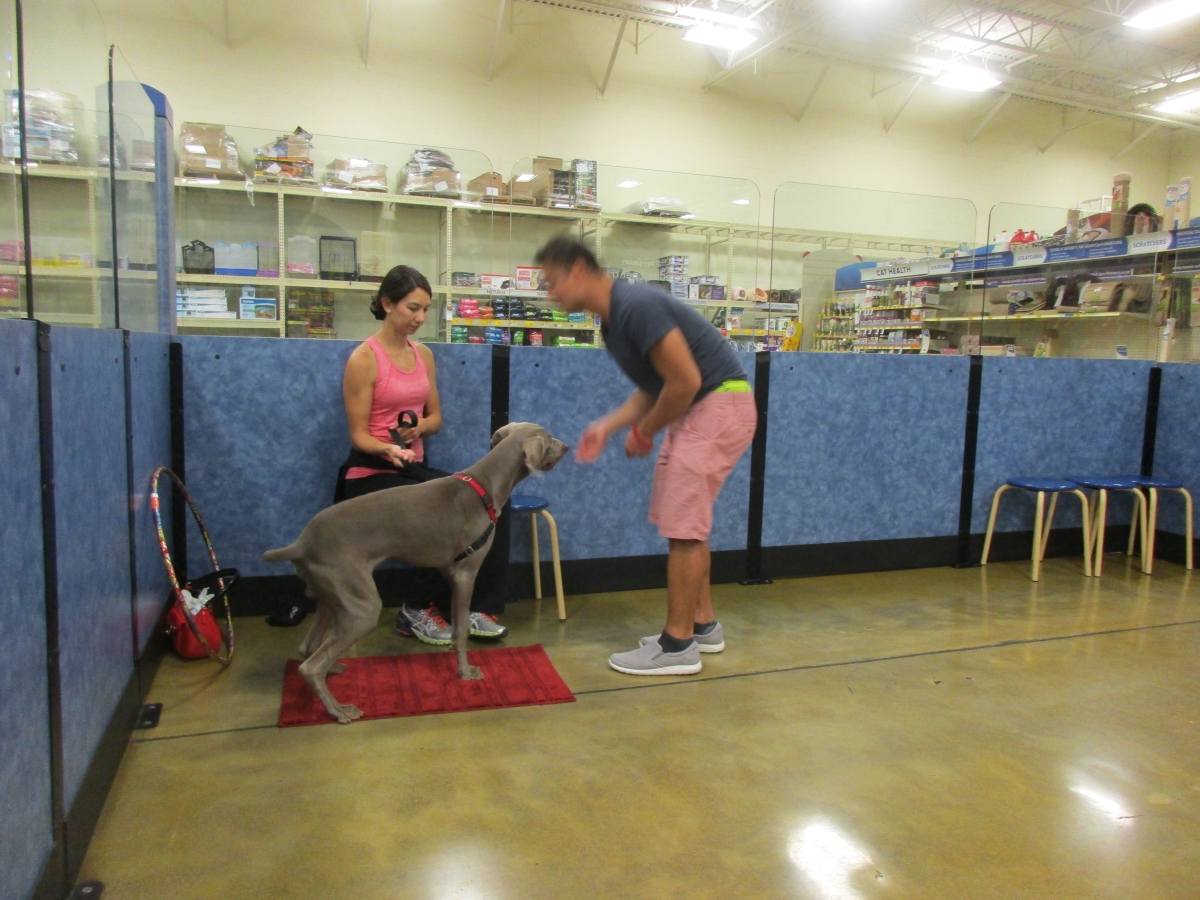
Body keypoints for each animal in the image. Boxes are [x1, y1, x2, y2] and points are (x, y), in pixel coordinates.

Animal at [263, 423, 569, 724]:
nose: (567, 446)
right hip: (360, 605)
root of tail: (302, 543)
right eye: (550, 438)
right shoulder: (465, 574)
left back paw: (332, 671)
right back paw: (340, 710)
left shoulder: (451, 575)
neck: (486, 485)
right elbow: (460, 630)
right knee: (310, 666)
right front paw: (465, 672)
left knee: (307, 648)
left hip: (330, 596)